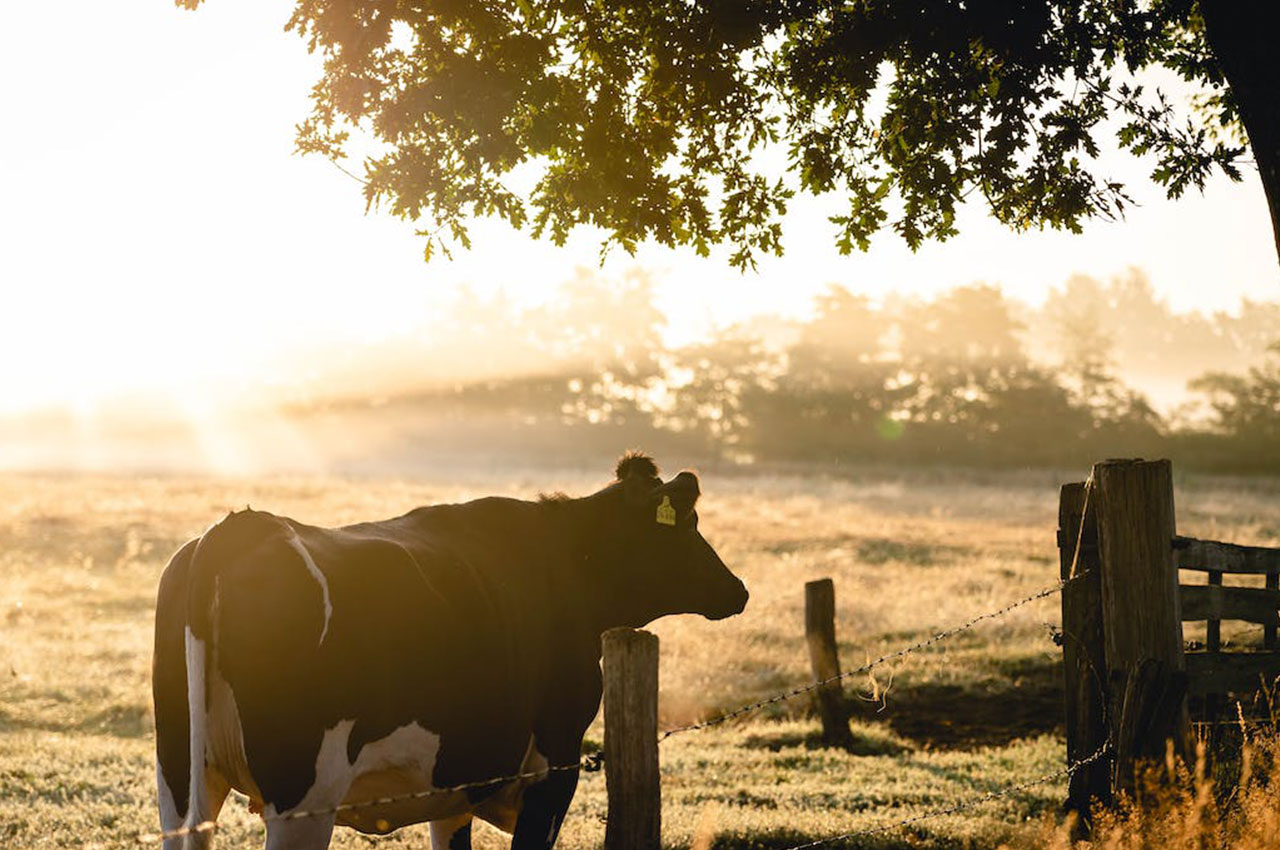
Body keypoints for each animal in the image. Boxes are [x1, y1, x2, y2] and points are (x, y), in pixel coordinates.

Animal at [152, 455, 747, 844]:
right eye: (688, 524)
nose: (737, 590)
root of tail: (243, 527)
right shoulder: (553, 766)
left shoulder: (457, 779)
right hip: (303, 797)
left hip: (180, 782)